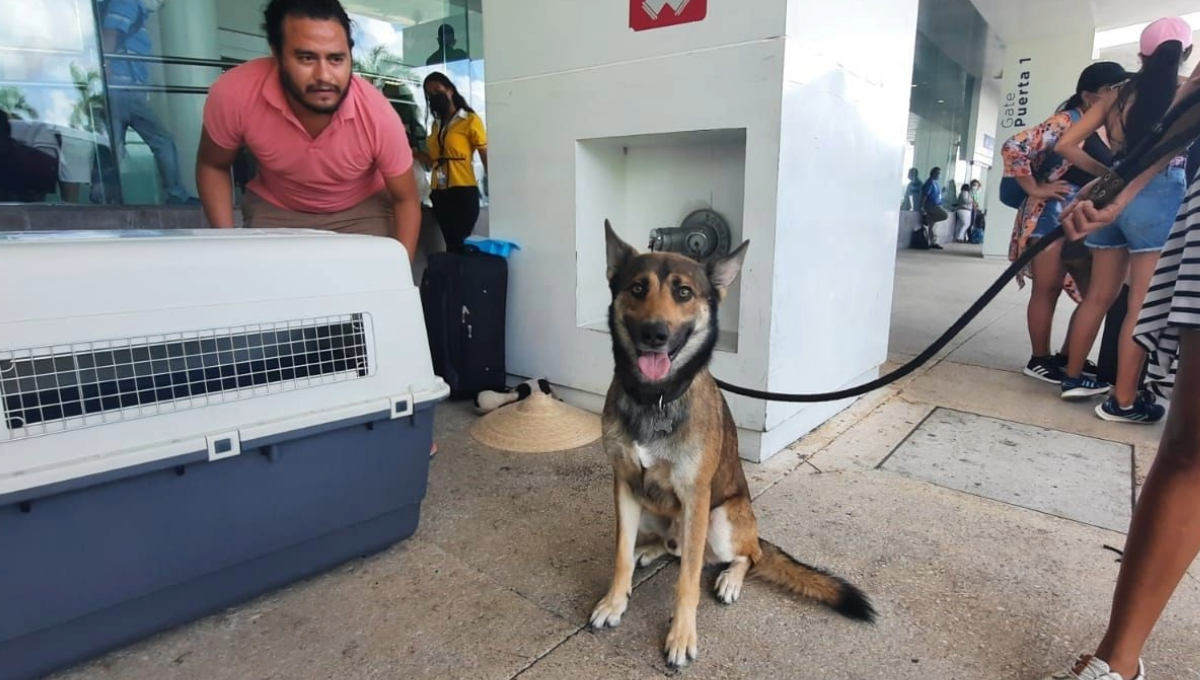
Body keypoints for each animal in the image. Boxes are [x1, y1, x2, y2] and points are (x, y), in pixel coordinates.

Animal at [588, 220, 873, 666]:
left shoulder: (696, 496)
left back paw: (729, 579)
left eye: (683, 292)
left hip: (720, 519)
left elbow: (687, 581)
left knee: (744, 556)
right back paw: (648, 551)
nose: (655, 333)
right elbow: (620, 555)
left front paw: (682, 636)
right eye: (637, 288)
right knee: (674, 547)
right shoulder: (625, 486)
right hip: (654, 512)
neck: (656, 396)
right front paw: (615, 601)